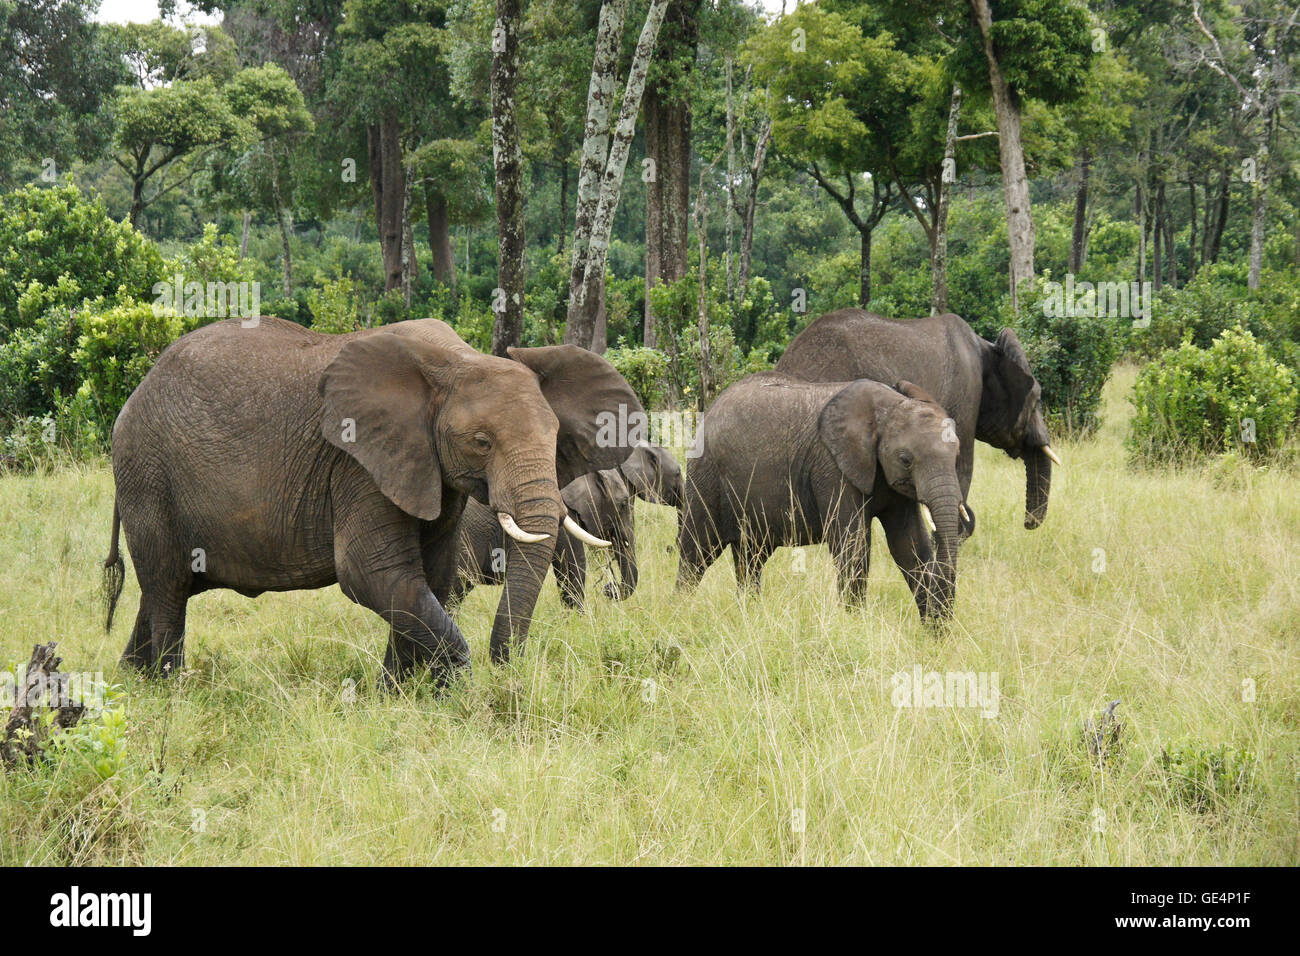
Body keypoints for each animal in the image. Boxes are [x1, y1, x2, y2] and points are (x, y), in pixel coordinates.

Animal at [101, 317, 644, 686]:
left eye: (554, 439)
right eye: (481, 442)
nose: (504, 667)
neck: (456, 360)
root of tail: (132, 399)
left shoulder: (431, 472)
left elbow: (429, 578)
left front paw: (397, 694)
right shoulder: (358, 463)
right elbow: (374, 573)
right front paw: (451, 688)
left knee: (161, 589)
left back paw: (134, 682)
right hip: (148, 476)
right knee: (168, 588)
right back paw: (172, 690)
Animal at [681, 369, 967, 624]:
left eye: (956, 454)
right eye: (906, 459)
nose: (941, 623)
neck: (886, 405)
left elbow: (909, 546)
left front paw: (933, 634)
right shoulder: (831, 467)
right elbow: (853, 546)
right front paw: (854, 626)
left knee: (750, 557)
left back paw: (749, 614)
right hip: (705, 476)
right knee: (697, 551)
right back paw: (679, 612)